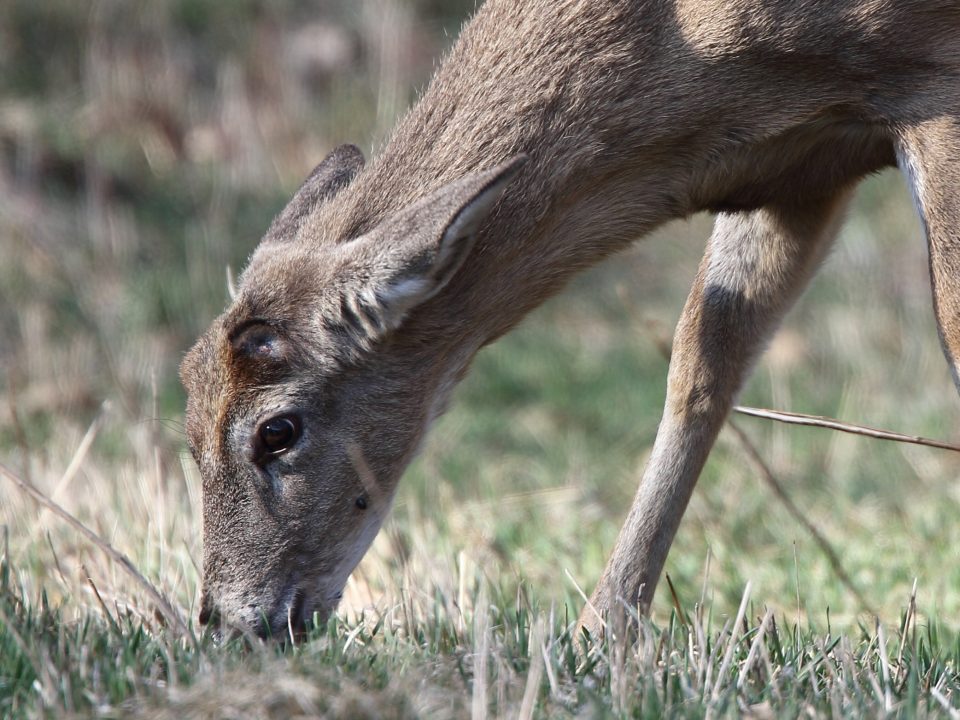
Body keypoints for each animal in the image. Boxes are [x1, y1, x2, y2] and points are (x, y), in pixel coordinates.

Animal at [180, 0, 960, 640]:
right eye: (187, 427)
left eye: (278, 430)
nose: (225, 620)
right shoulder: (794, 177)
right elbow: (699, 368)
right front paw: (600, 632)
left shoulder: (932, 92)